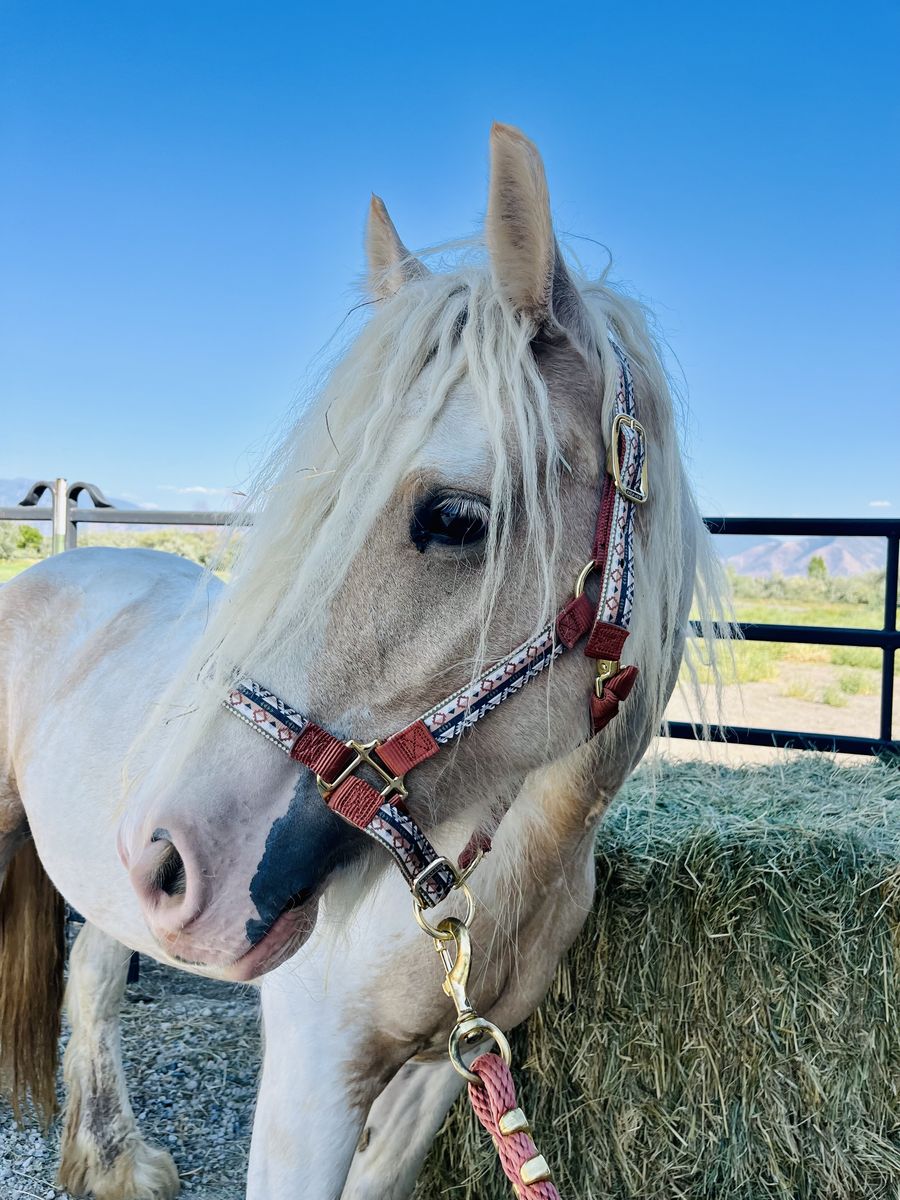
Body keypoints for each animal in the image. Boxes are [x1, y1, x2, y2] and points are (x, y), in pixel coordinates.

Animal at [0, 123, 724, 1199]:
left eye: (456, 518)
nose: (168, 858)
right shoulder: (310, 1087)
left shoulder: (440, 1078)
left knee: (92, 974)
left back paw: (116, 1156)